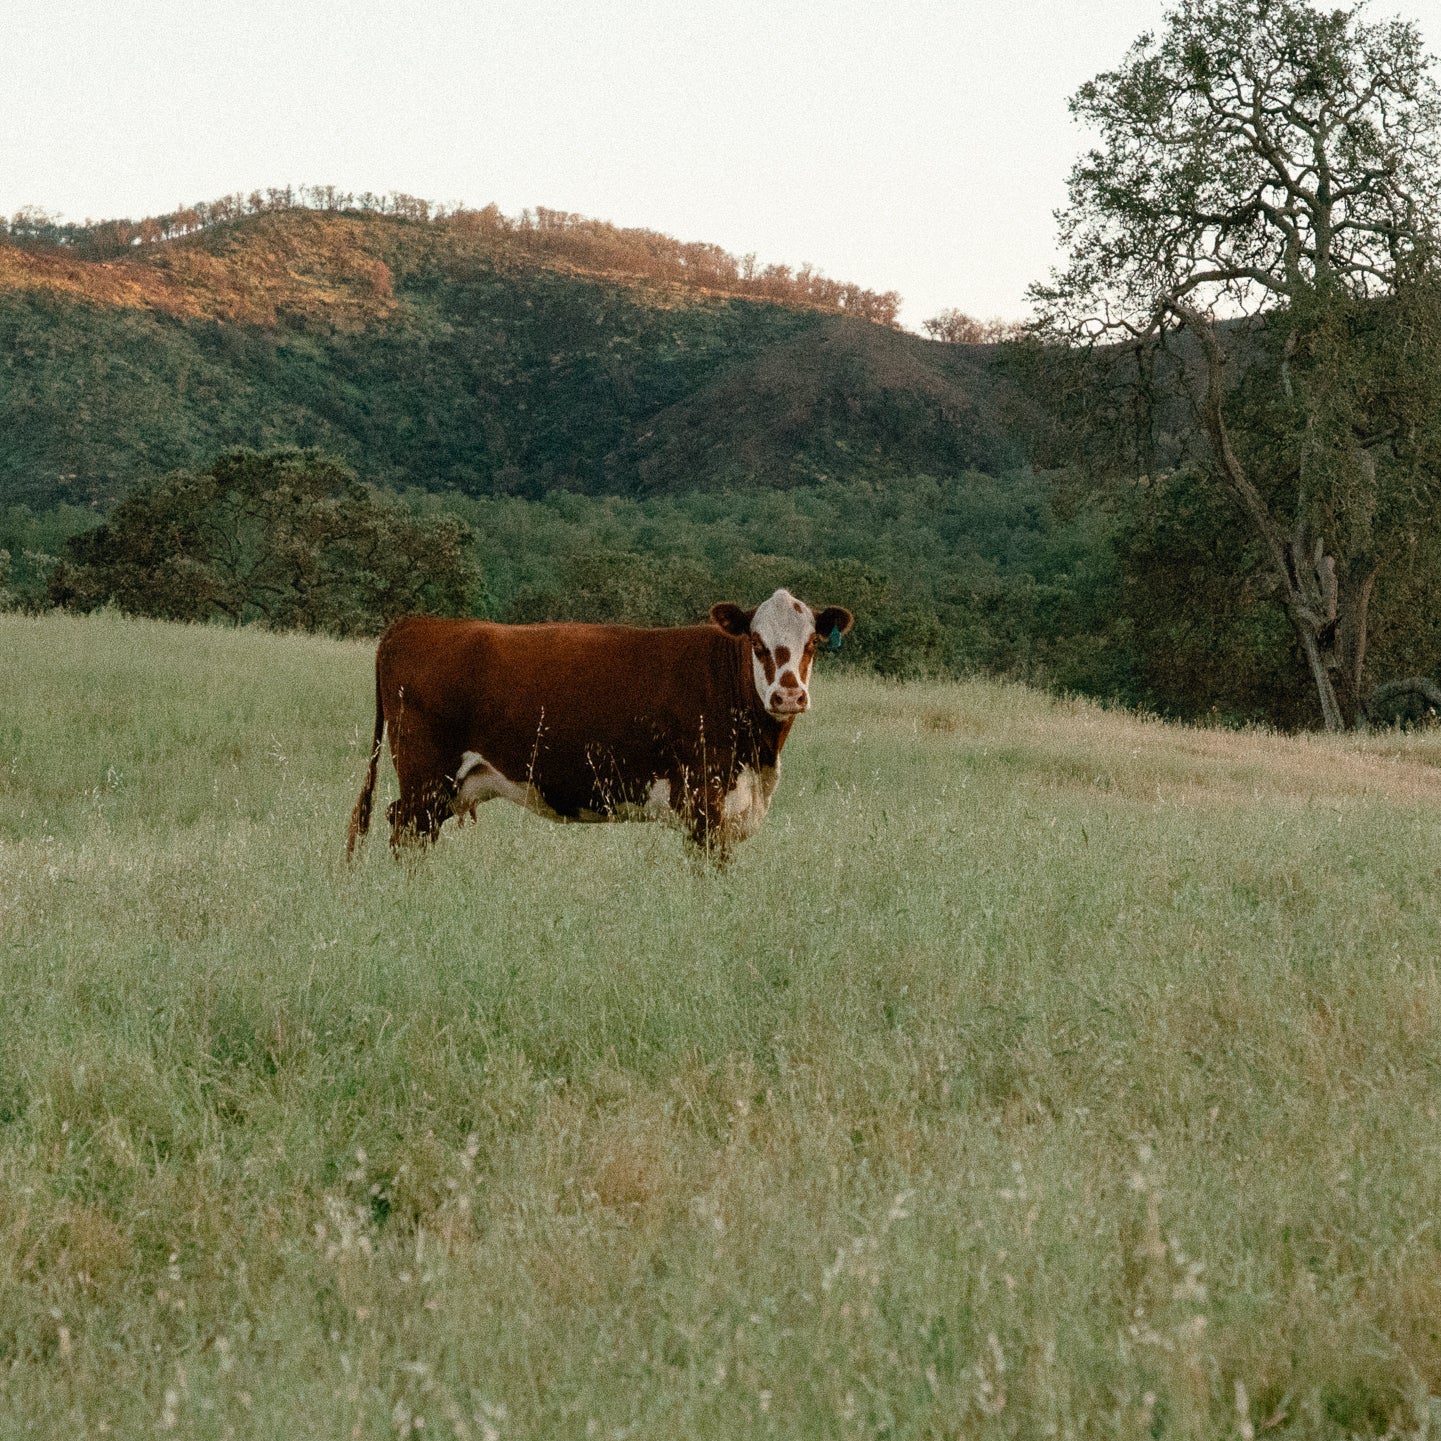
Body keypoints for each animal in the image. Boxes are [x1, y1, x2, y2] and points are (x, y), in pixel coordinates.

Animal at [346, 588, 854, 862]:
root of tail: (414, 625)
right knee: (405, 831)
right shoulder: (702, 804)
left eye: (812, 643)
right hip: (426, 775)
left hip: (446, 787)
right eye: (756, 642)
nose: (788, 695)